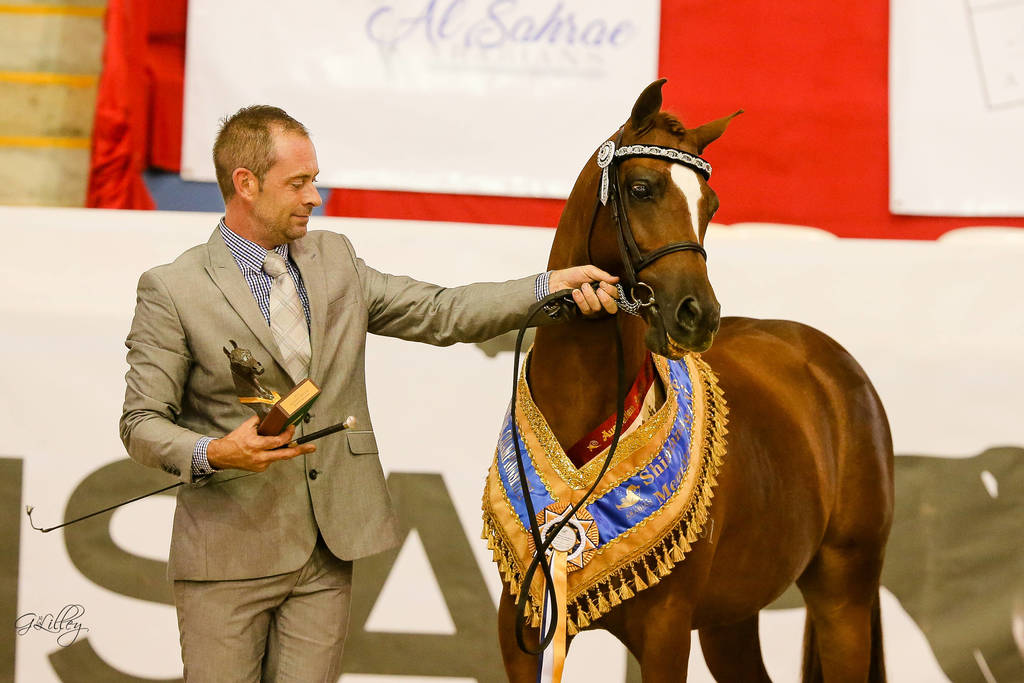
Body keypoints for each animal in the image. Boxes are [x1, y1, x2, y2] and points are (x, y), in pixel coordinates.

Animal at [488, 80, 894, 682]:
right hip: (732, 617)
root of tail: (834, 368)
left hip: (843, 594)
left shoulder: (666, 630)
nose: (697, 314)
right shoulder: (521, 630)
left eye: (711, 204)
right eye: (640, 188)